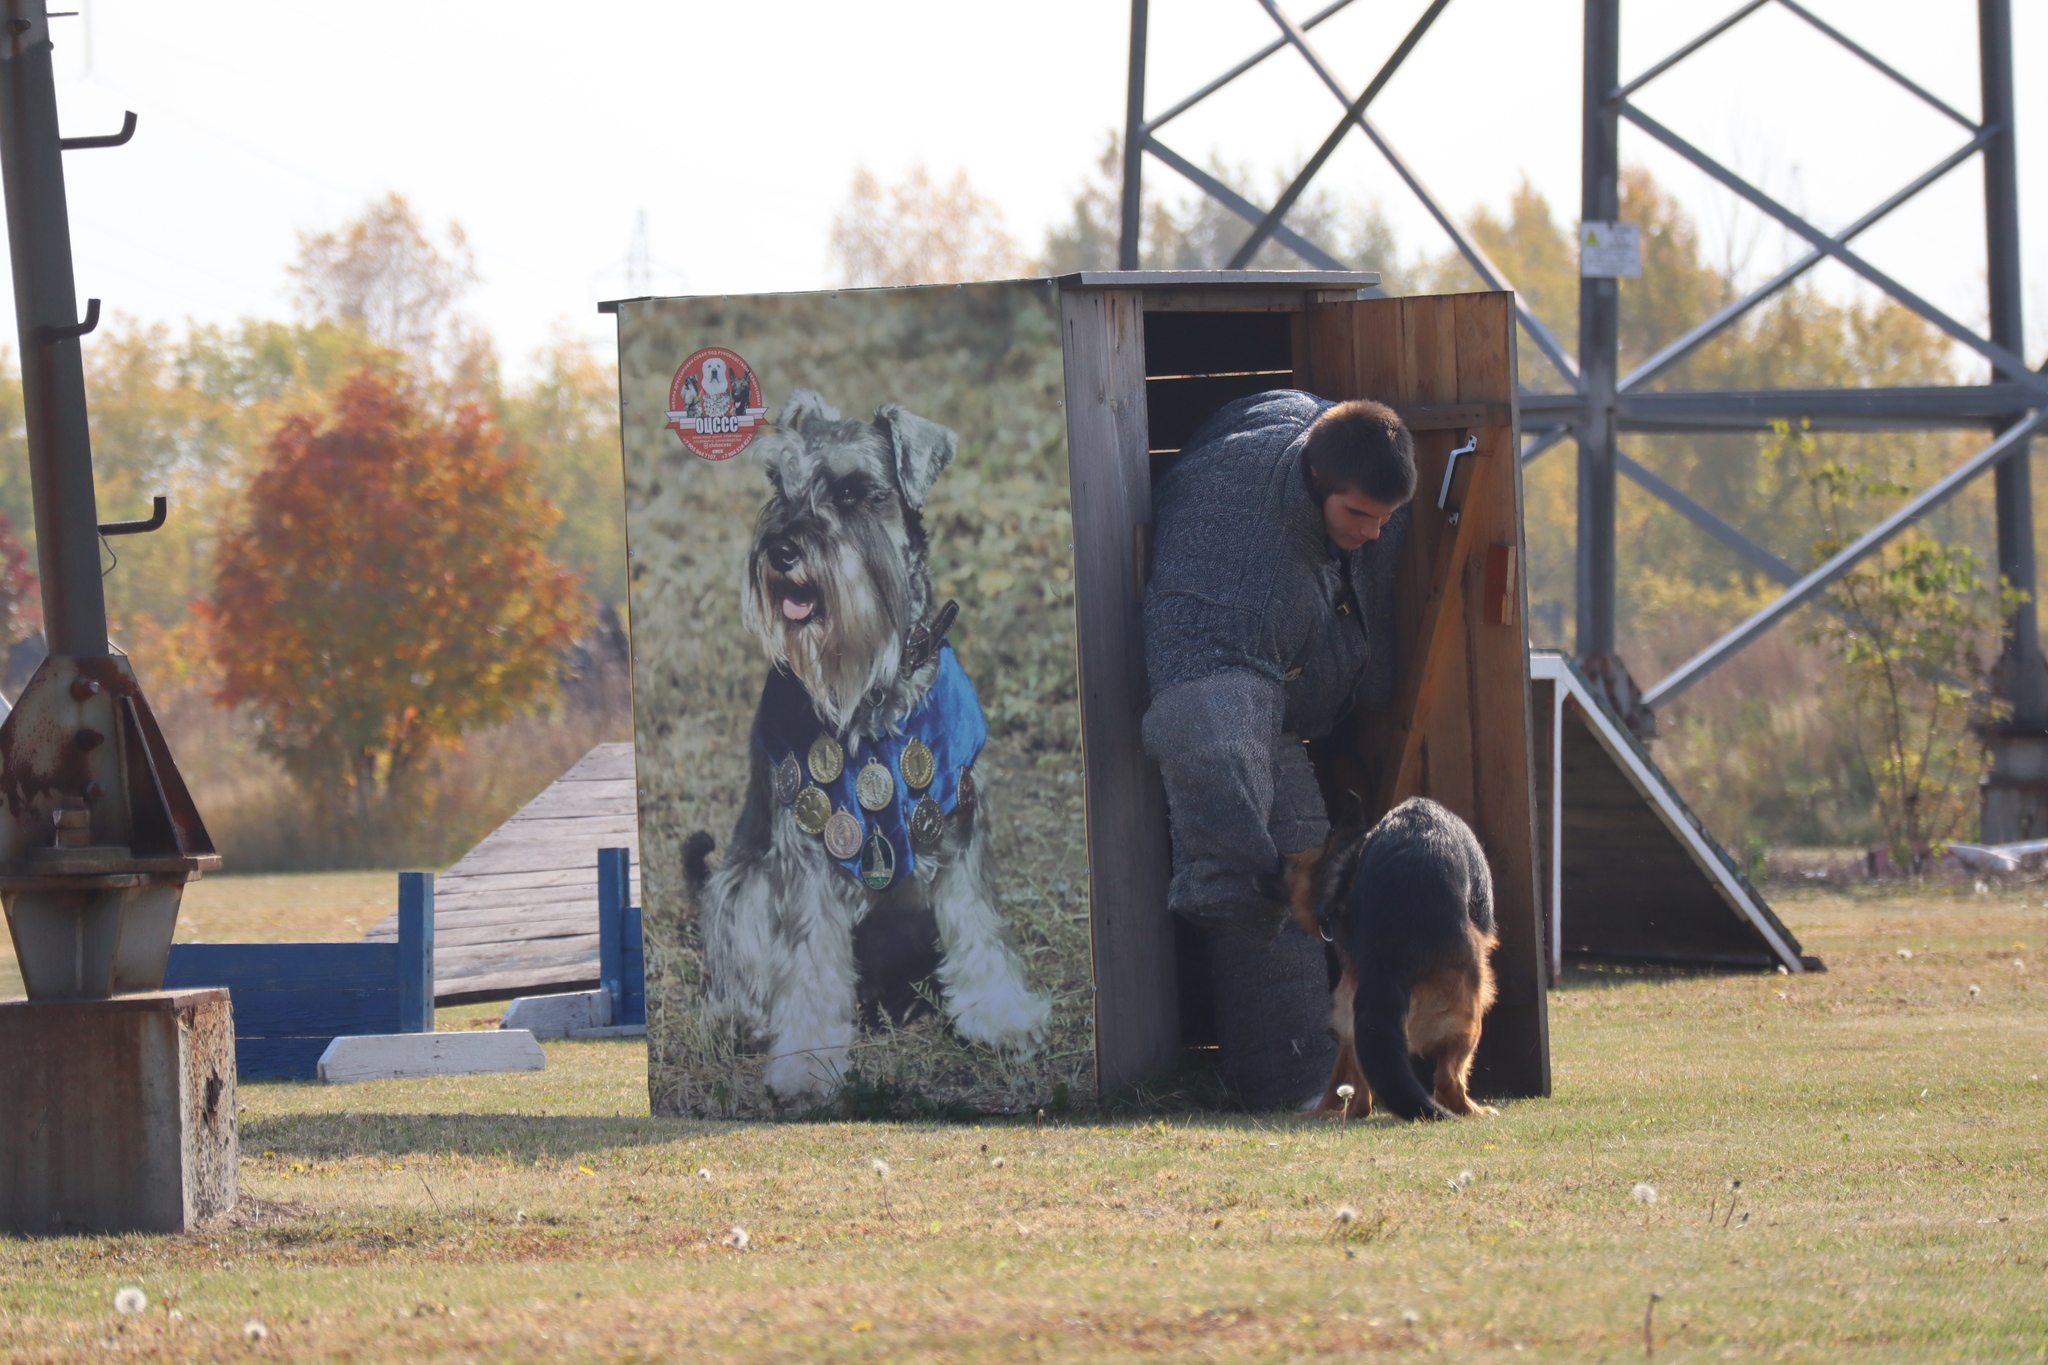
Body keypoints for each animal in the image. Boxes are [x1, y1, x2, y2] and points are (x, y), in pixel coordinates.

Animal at [684, 388, 1048, 1105]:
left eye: (854, 492)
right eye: (779, 483)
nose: (781, 548)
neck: (873, 691)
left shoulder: (961, 825)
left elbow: (979, 925)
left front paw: (1000, 1014)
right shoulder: (804, 854)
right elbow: (809, 960)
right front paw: (805, 1061)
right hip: (740, 887)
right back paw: (736, 1017)